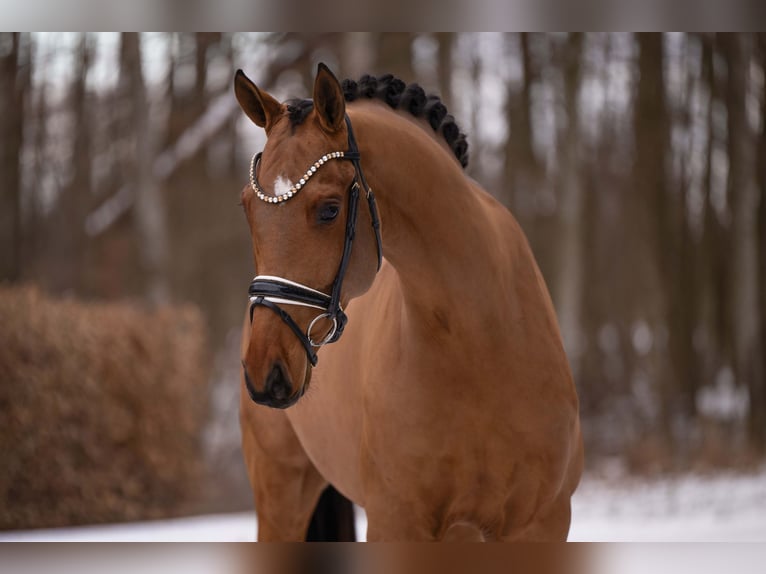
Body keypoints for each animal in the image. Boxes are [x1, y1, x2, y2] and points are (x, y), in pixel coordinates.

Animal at [234, 63, 583, 541]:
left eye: (328, 209)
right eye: (247, 208)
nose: (264, 372)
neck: (480, 342)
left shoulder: (541, 523)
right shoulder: (396, 521)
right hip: (280, 491)